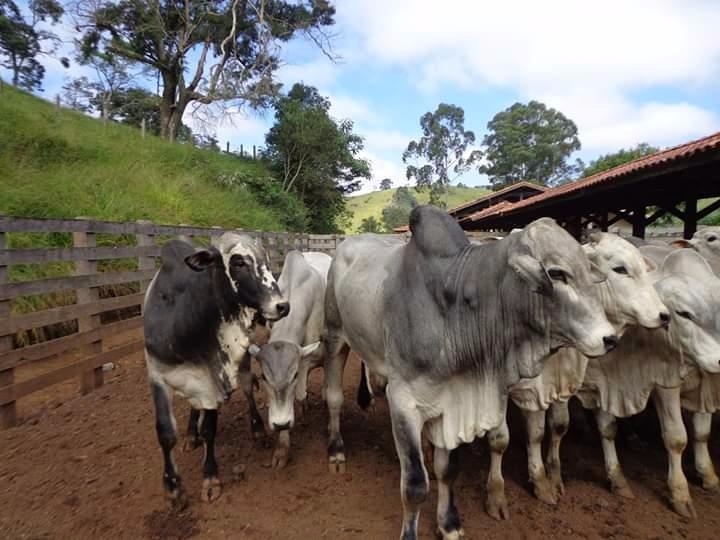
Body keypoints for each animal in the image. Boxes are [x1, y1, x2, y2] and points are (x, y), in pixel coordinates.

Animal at [143, 234, 290, 508]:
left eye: (265, 260)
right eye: (238, 262)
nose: (282, 306)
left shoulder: (212, 384)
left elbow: (209, 430)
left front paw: (210, 478)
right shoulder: (158, 377)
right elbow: (165, 433)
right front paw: (173, 488)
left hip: (243, 360)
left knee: (247, 387)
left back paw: (257, 429)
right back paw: (191, 435)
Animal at [324, 205, 616, 536]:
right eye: (557, 273)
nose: (610, 338)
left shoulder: (450, 402)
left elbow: (448, 470)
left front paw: (449, 524)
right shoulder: (403, 401)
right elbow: (414, 485)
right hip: (335, 337)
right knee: (334, 397)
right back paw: (336, 450)